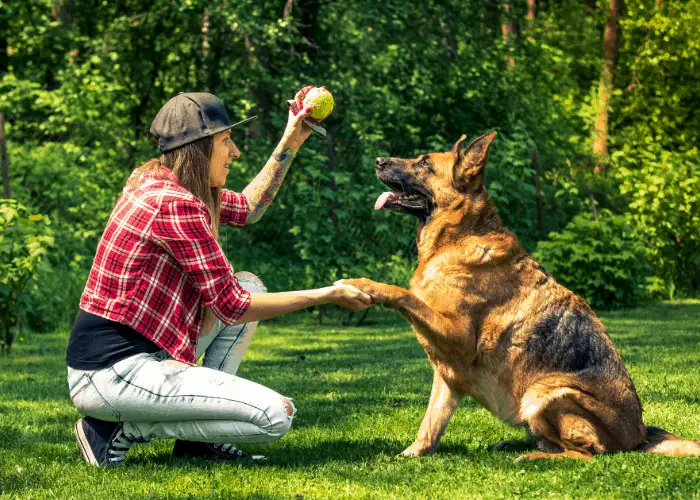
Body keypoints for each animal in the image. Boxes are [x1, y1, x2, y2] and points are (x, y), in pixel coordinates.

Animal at [340, 133, 700, 460]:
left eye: (425, 163)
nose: (378, 160)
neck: (459, 236)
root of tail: (639, 437)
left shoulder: (457, 337)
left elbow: (404, 295)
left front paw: (363, 284)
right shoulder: (447, 372)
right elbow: (432, 421)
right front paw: (414, 453)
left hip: (546, 393)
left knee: (585, 453)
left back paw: (533, 456)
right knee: (553, 442)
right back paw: (517, 444)